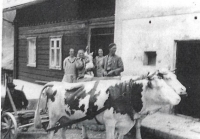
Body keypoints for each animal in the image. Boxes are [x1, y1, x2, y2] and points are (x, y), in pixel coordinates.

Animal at [34, 72, 180, 138]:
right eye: (160, 86)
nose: (179, 98)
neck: (126, 92)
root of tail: (56, 84)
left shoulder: (124, 125)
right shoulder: (110, 123)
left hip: (66, 118)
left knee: (62, 131)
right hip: (53, 118)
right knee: (50, 132)